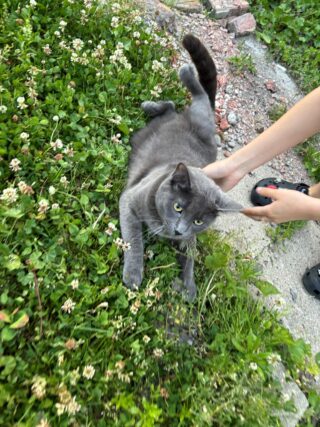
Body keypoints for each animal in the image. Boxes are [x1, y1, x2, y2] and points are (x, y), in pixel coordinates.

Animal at [119, 34, 241, 300]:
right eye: (178, 207)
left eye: (198, 222)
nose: (178, 230)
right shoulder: (130, 201)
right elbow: (134, 240)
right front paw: (133, 275)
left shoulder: (189, 239)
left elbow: (191, 257)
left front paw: (188, 287)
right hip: (200, 114)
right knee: (197, 96)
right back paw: (180, 78)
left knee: (174, 105)